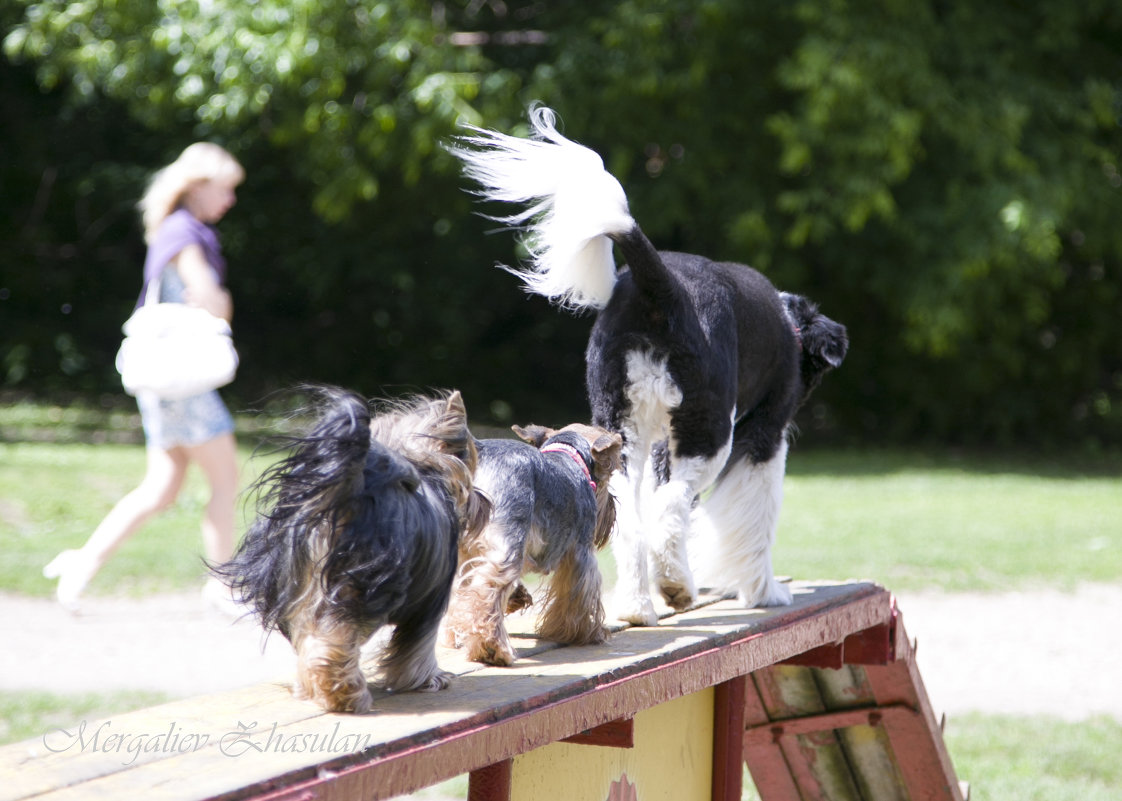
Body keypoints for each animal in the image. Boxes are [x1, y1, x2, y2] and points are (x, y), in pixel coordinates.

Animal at [451, 106, 843, 623]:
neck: (791, 323)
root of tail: (661, 288)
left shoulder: (660, 444)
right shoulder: (764, 439)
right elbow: (752, 518)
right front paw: (765, 592)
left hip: (623, 432)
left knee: (633, 520)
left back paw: (639, 605)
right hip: (709, 431)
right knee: (670, 511)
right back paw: (675, 585)